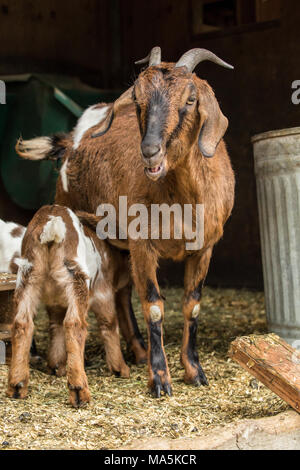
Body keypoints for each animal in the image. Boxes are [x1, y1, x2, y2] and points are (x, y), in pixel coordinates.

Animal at [16, 47, 236, 396]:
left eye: (191, 99)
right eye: (136, 99)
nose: (150, 151)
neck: (183, 200)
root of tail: (71, 141)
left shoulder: (204, 248)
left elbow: (193, 306)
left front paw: (195, 371)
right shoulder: (142, 244)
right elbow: (154, 306)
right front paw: (160, 380)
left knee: (121, 293)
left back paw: (138, 351)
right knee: (120, 294)